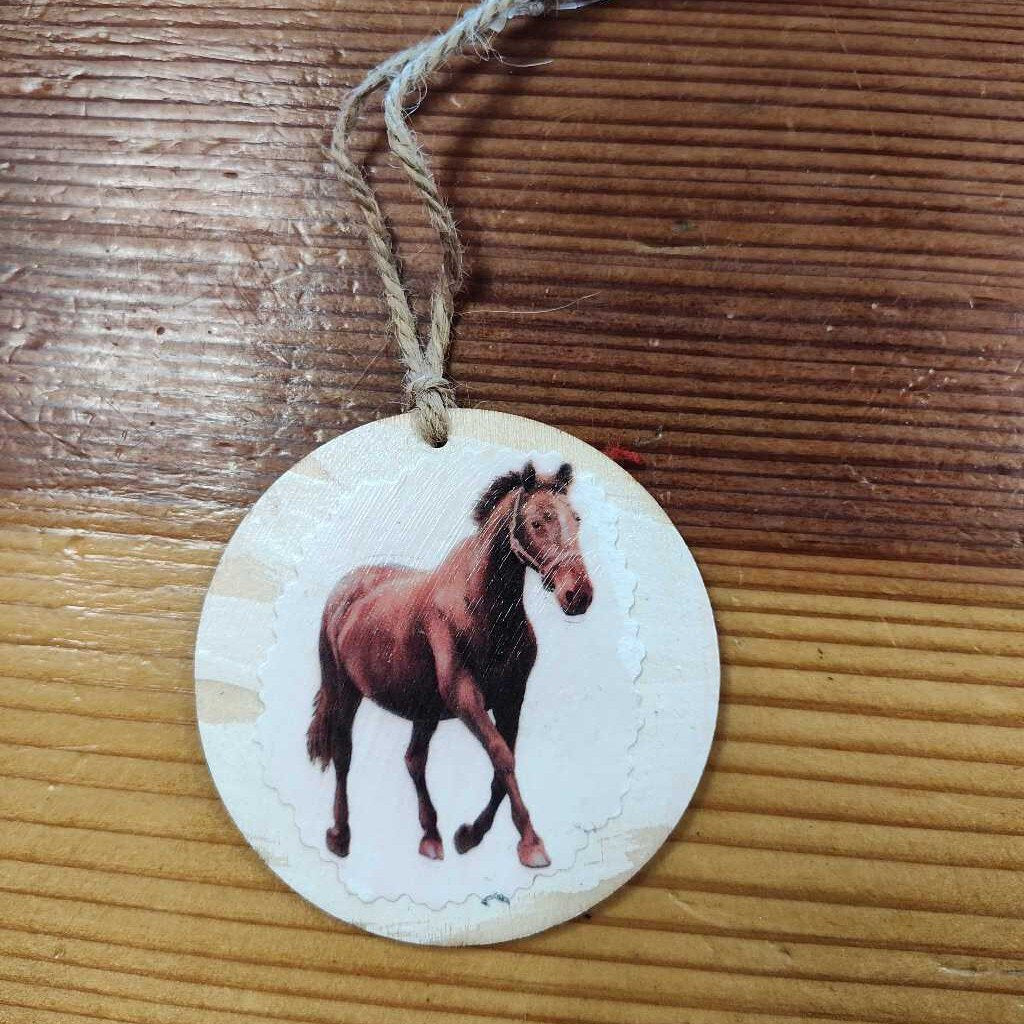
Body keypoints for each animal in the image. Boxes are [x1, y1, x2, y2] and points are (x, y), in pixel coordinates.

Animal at [307, 460, 594, 870]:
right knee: (343, 754)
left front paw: (470, 835)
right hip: (345, 691)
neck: (481, 609)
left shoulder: (512, 698)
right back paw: (340, 836)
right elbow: (501, 756)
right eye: (538, 521)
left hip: (423, 708)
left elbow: (502, 763)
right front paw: (531, 843)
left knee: (413, 760)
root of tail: (345, 590)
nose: (578, 594)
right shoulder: (465, 699)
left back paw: (431, 836)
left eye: (577, 518)